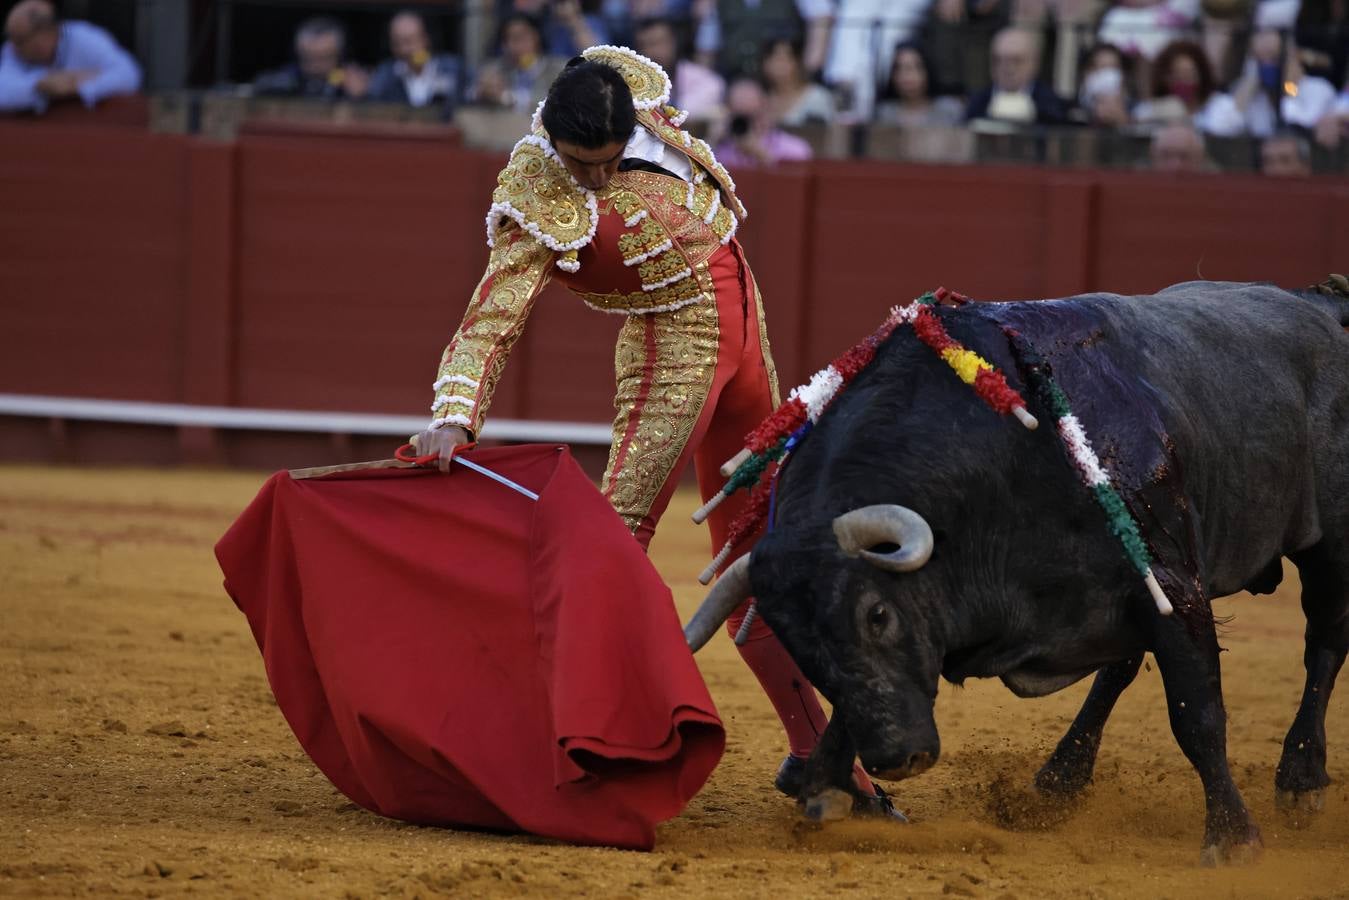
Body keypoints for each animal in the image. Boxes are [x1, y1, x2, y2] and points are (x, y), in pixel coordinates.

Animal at [690, 279, 1349, 863]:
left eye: (877, 614)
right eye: (798, 646)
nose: (898, 759)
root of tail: (1325, 304)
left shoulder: (1173, 583)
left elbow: (1197, 715)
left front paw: (1234, 839)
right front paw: (828, 789)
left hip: (1329, 545)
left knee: (1324, 643)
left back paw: (1300, 778)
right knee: (1121, 667)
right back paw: (1061, 778)